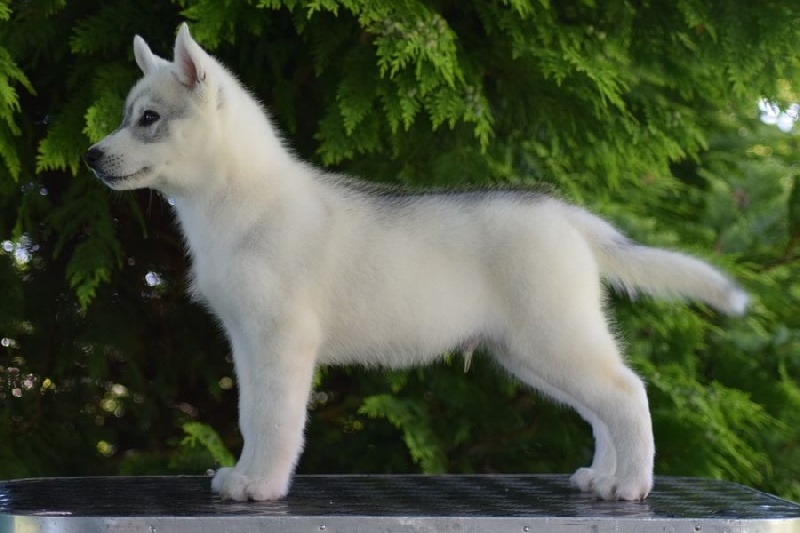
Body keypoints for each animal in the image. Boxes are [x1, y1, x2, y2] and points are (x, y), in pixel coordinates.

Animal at [85, 23, 747, 502]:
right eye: (126, 116)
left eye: (148, 119)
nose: (91, 156)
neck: (236, 202)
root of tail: (566, 215)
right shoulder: (247, 343)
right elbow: (252, 416)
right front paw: (244, 475)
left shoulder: (281, 340)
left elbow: (275, 421)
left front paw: (262, 486)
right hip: (534, 350)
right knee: (601, 406)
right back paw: (602, 477)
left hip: (552, 337)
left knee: (627, 393)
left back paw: (631, 484)